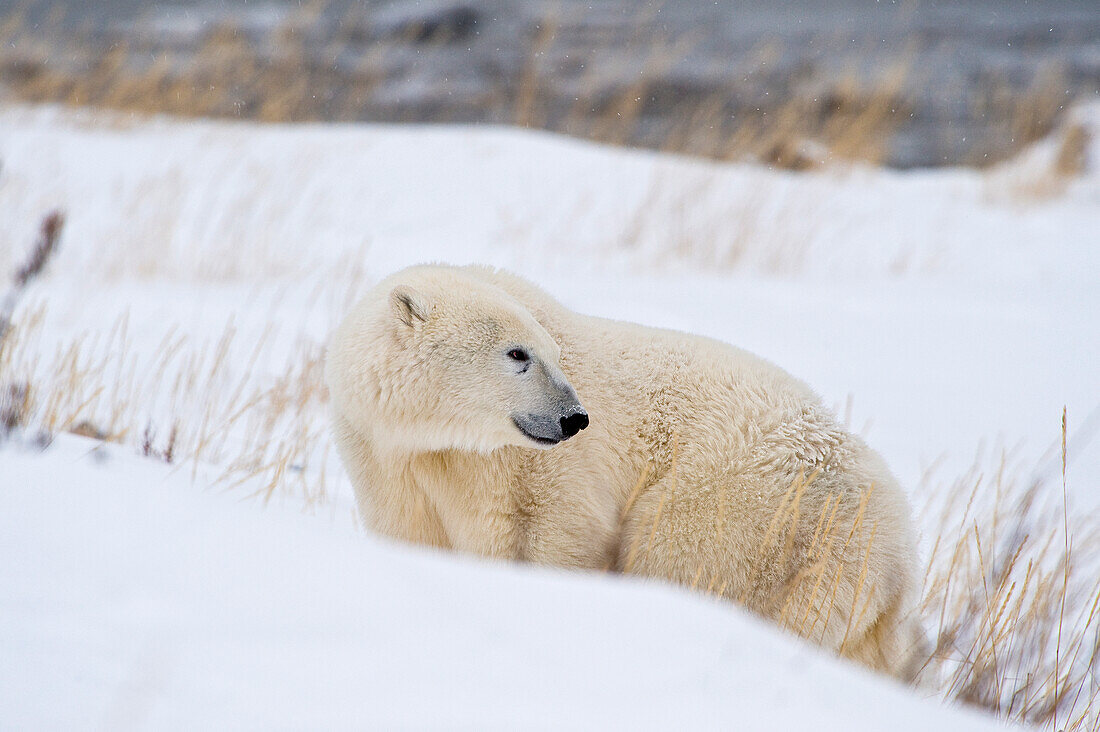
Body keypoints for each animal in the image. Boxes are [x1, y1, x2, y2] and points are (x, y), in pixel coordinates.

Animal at [325, 263, 928, 678]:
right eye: (518, 353)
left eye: (549, 353)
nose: (574, 418)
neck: (435, 438)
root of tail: (896, 547)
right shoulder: (387, 458)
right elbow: (416, 534)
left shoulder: (533, 471)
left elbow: (555, 534)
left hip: (744, 512)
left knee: (685, 563)